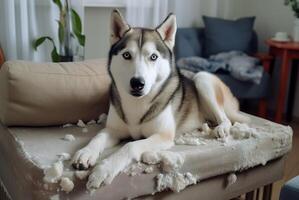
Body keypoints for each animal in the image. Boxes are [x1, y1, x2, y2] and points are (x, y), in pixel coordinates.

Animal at [72, 9, 248, 190]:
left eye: (153, 57)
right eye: (127, 55)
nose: (137, 83)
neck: (137, 103)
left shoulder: (163, 136)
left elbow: (130, 145)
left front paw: (105, 169)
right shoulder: (114, 130)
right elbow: (98, 137)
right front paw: (86, 153)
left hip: (202, 79)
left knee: (225, 117)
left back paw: (222, 128)